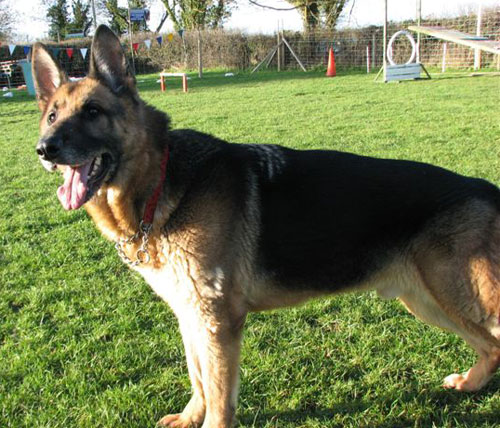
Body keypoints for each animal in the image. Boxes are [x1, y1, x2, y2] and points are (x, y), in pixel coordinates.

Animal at [32, 27, 500, 428]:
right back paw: (470, 383)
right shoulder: (192, 316)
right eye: (52, 116)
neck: (161, 183)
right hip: (425, 300)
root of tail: (484, 187)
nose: (44, 149)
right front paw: (189, 416)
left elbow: (219, 394)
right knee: (490, 347)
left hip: (455, 296)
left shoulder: (219, 322)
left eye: (93, 112)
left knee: (493, 342)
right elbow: (198, 378)